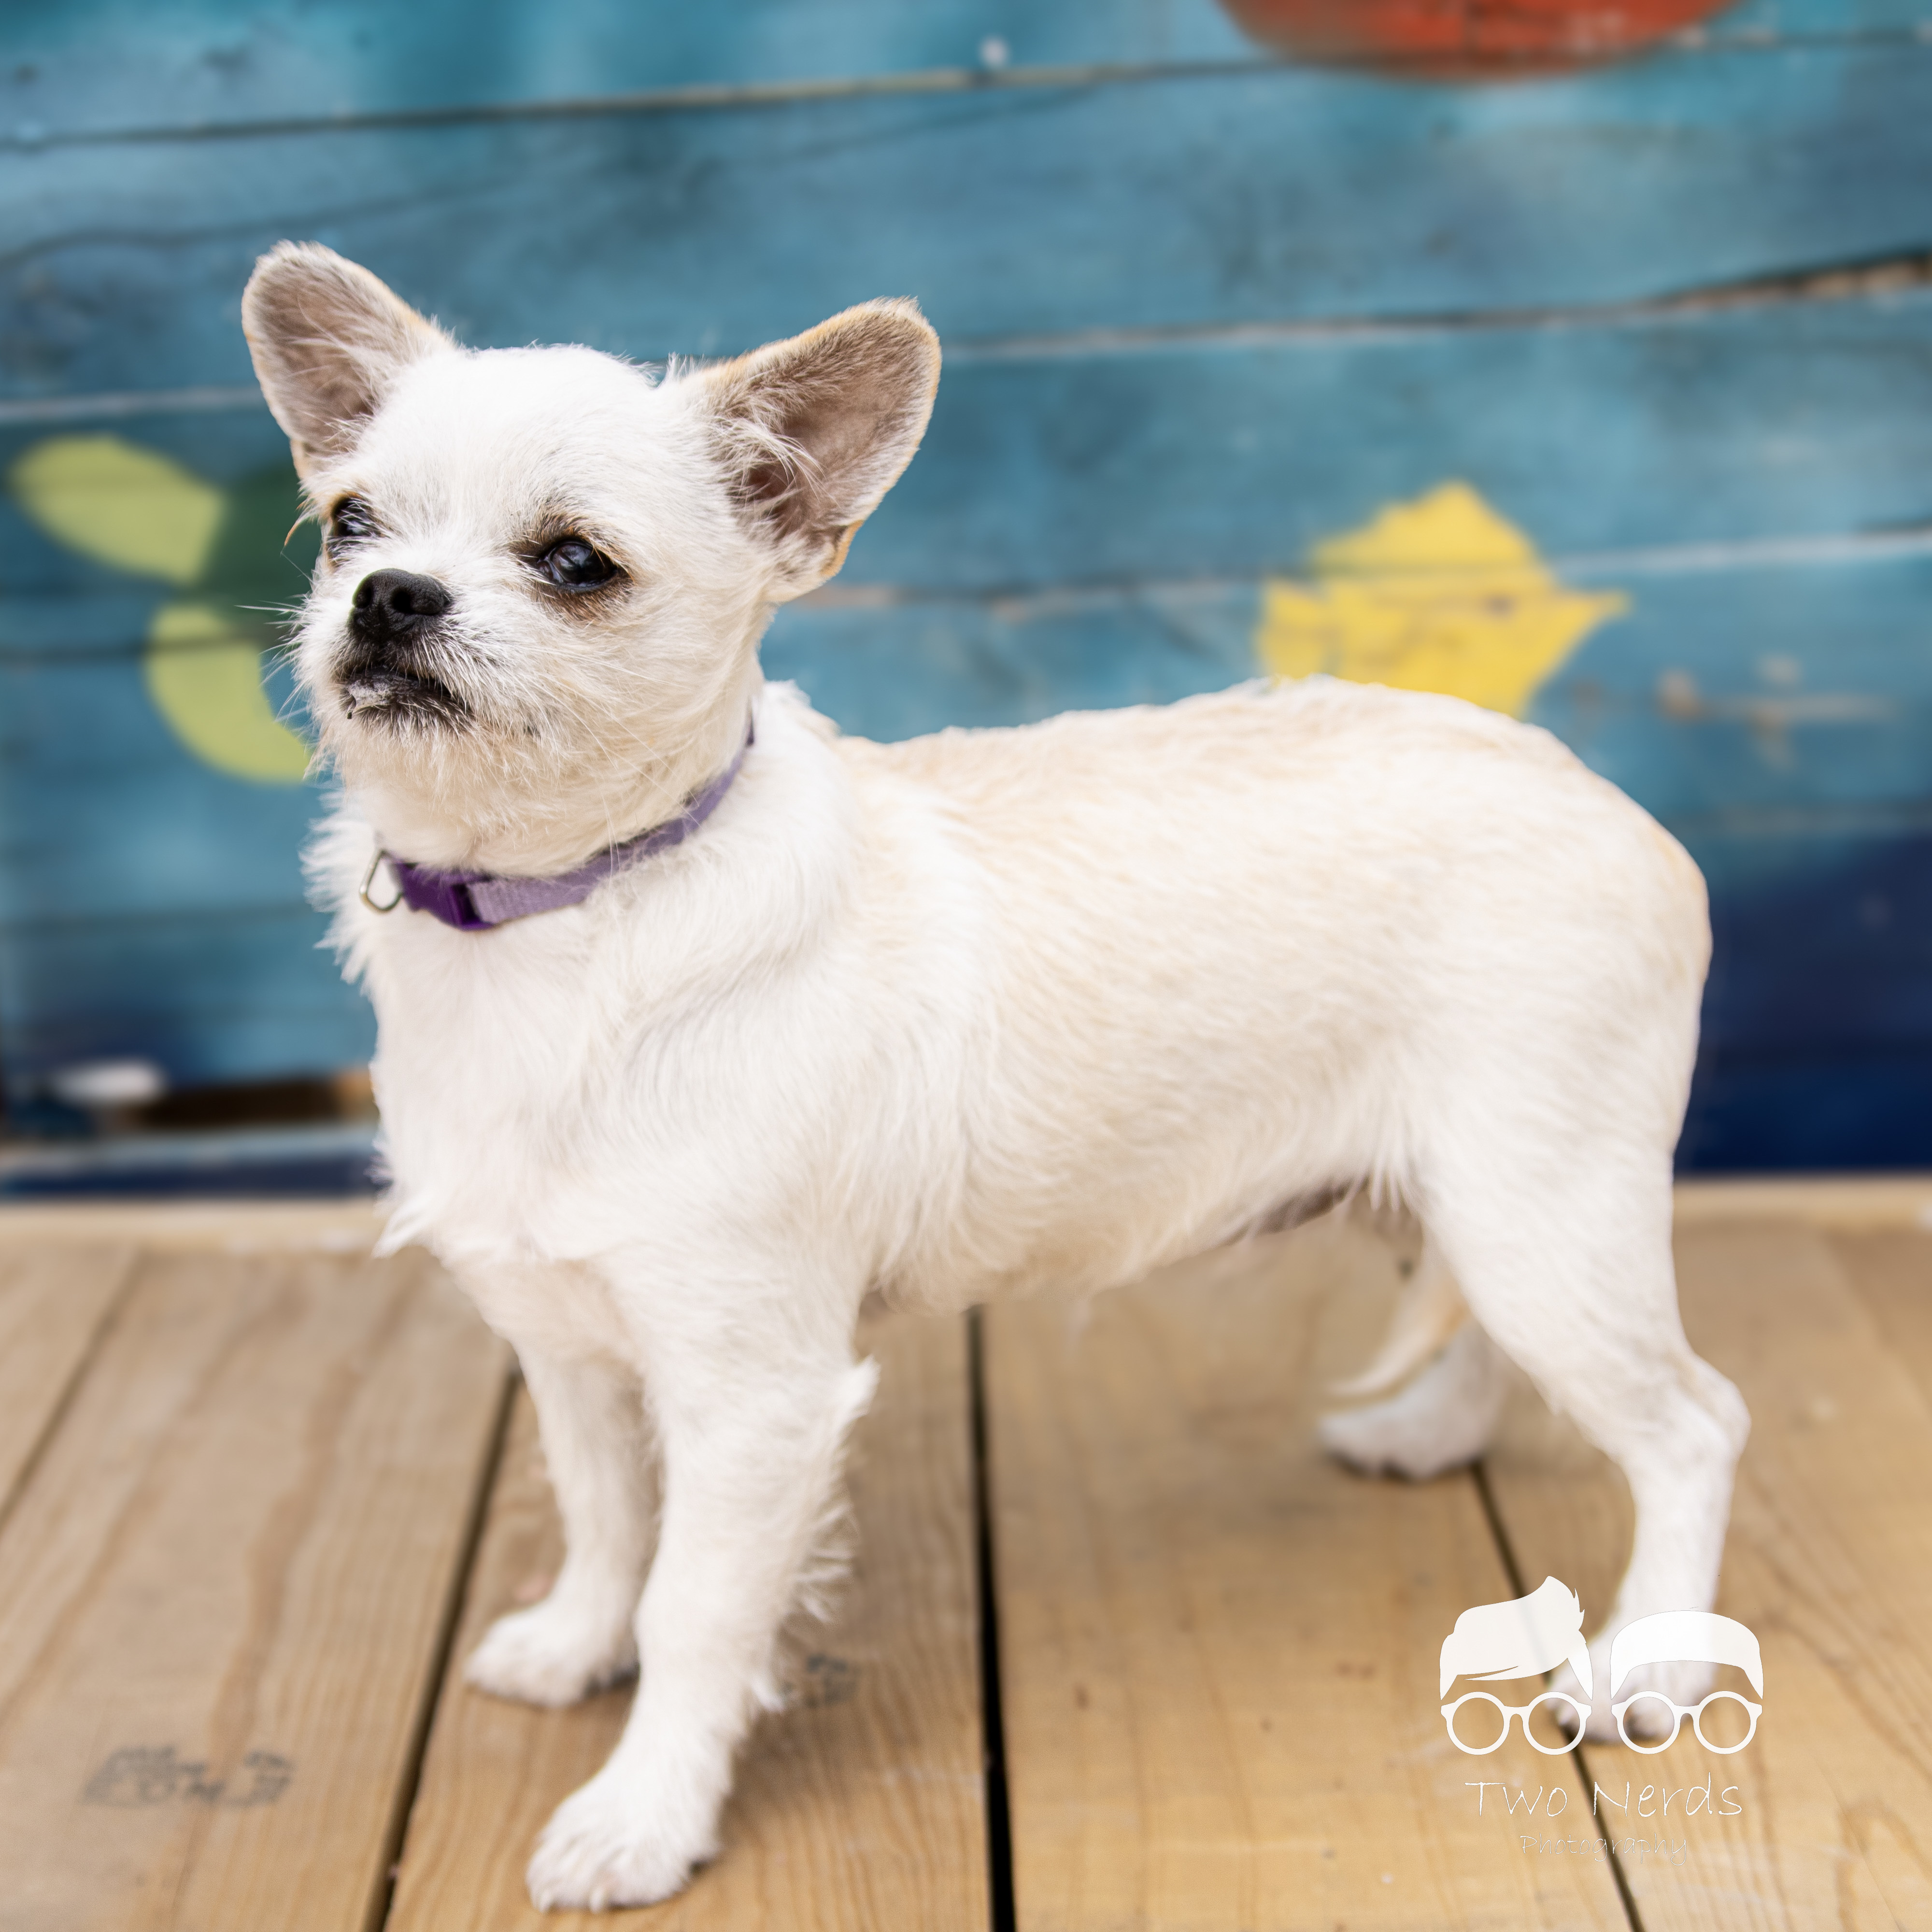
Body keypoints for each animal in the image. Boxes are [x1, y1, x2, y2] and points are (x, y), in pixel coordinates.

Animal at [242, 245, 1754, 1917]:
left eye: (576, 563)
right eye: (350, 523)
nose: (390, 595)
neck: (566, 917)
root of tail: (1616, 805)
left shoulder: (752, 1394)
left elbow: (694, 1609)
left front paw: (643, 1813)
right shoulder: (566, 1342)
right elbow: (602, 1518)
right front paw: (577, 1643)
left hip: (1539, 1219)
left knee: (1693, 1426)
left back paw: (1653, 1666)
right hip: (1458, 1200)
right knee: (1490, 1333)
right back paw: (1431, 1434)